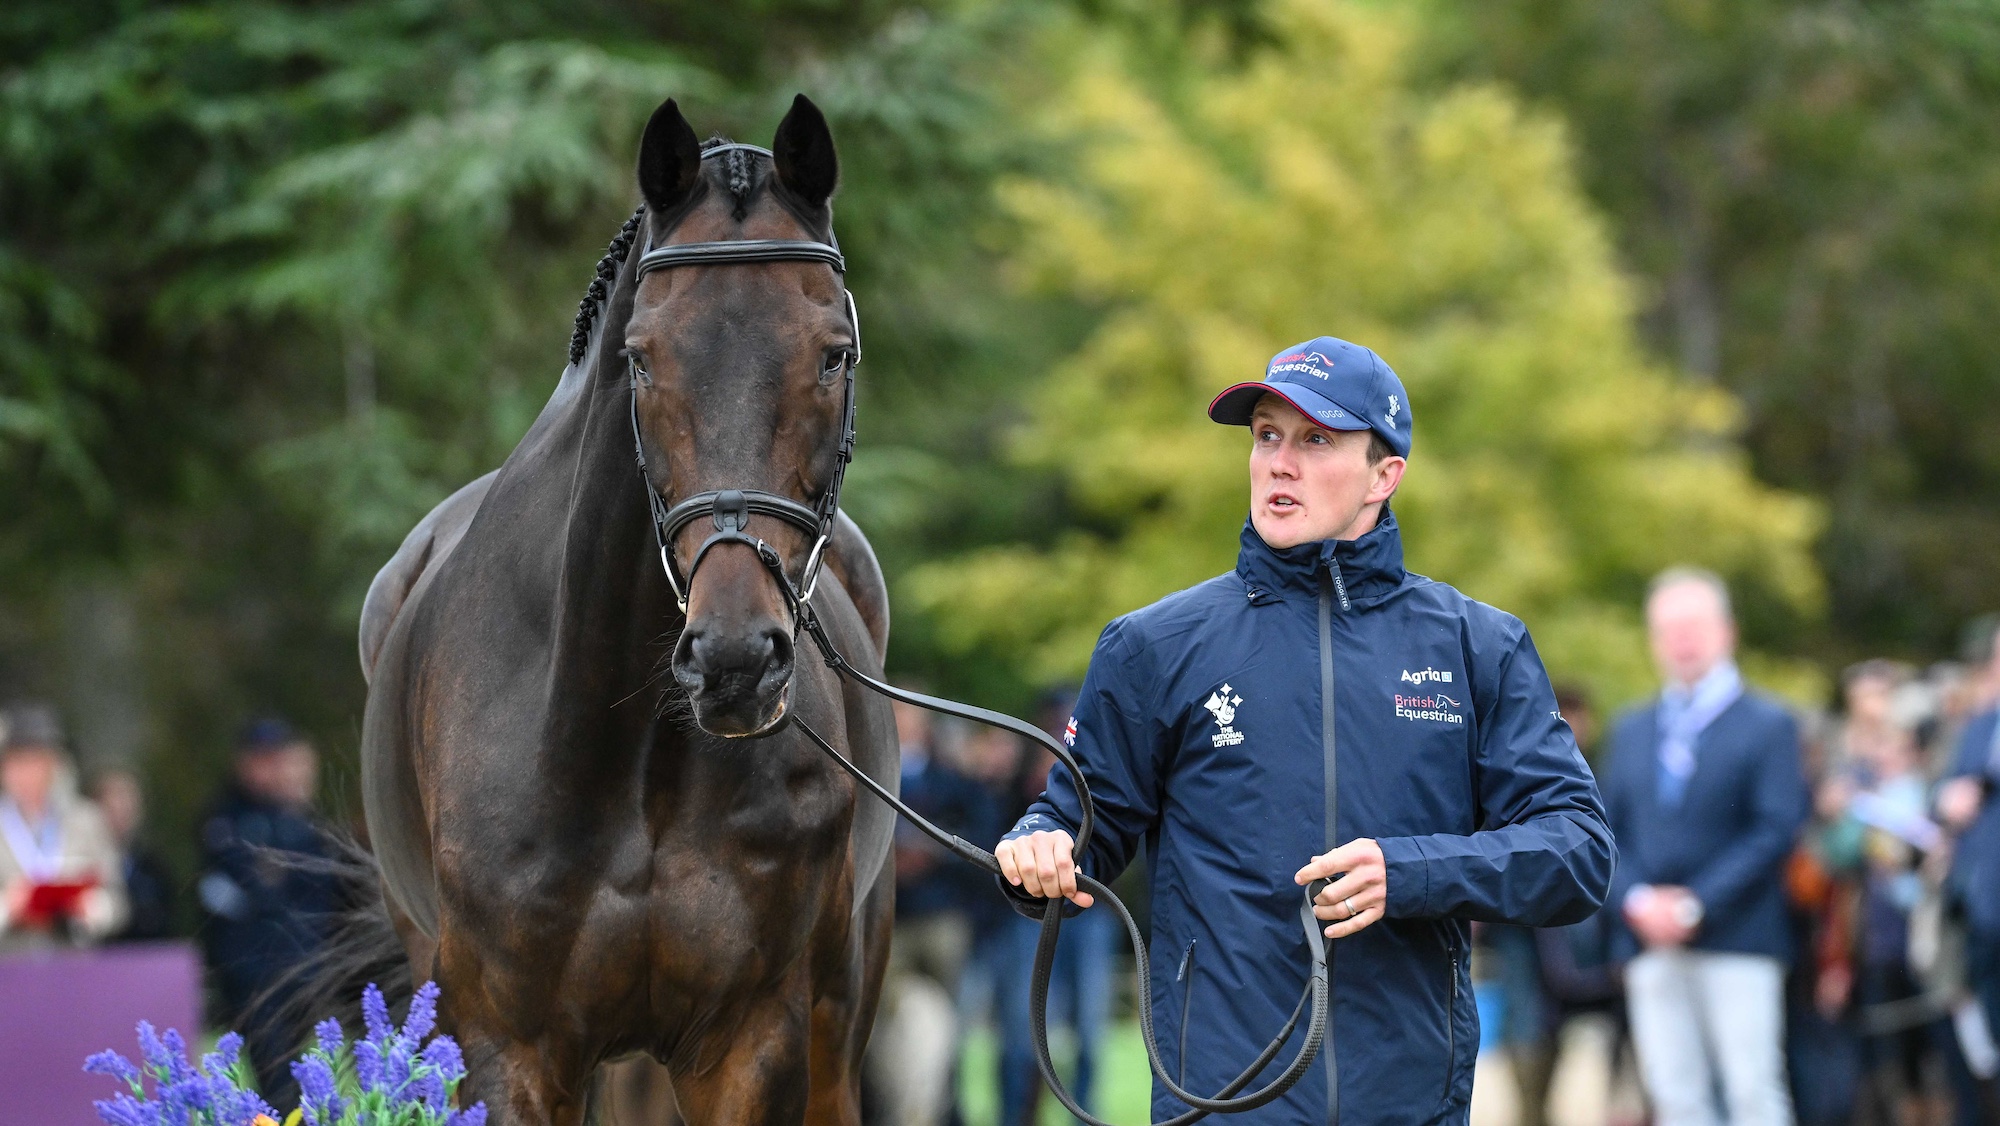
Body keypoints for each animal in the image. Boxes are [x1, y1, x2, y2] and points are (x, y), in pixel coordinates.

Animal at [348, 94, 899, 1125]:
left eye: (834, 356)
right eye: (642, 360)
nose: (734, 661)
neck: (618, 747)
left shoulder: (750, 1042)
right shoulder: (512, 1052)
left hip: (833, 1018)